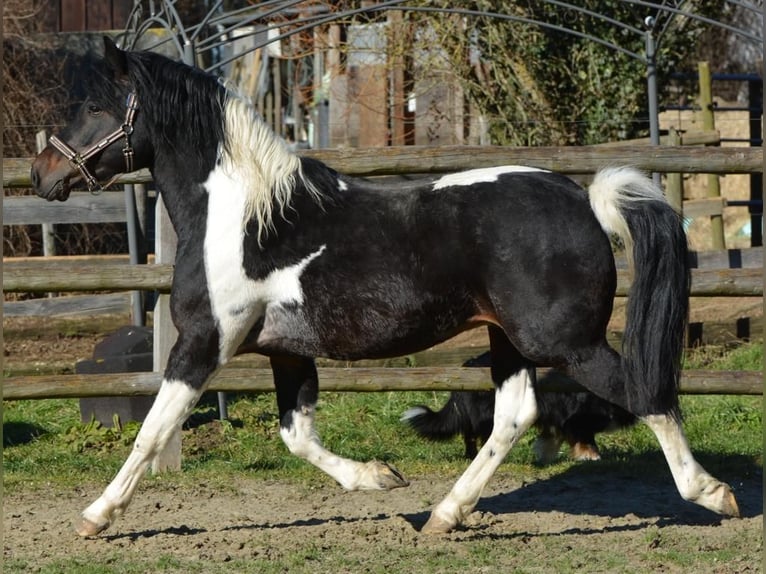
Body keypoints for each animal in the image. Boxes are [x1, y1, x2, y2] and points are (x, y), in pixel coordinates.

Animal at [404, 354, 640, 466]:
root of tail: (465, 367)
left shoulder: (555, 419)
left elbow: (551, 438)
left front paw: (545, 454)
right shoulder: (574, 419)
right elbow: (585, 439)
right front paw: (591, 457)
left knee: (470, 436)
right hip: (489, 416)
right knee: (481, 437)